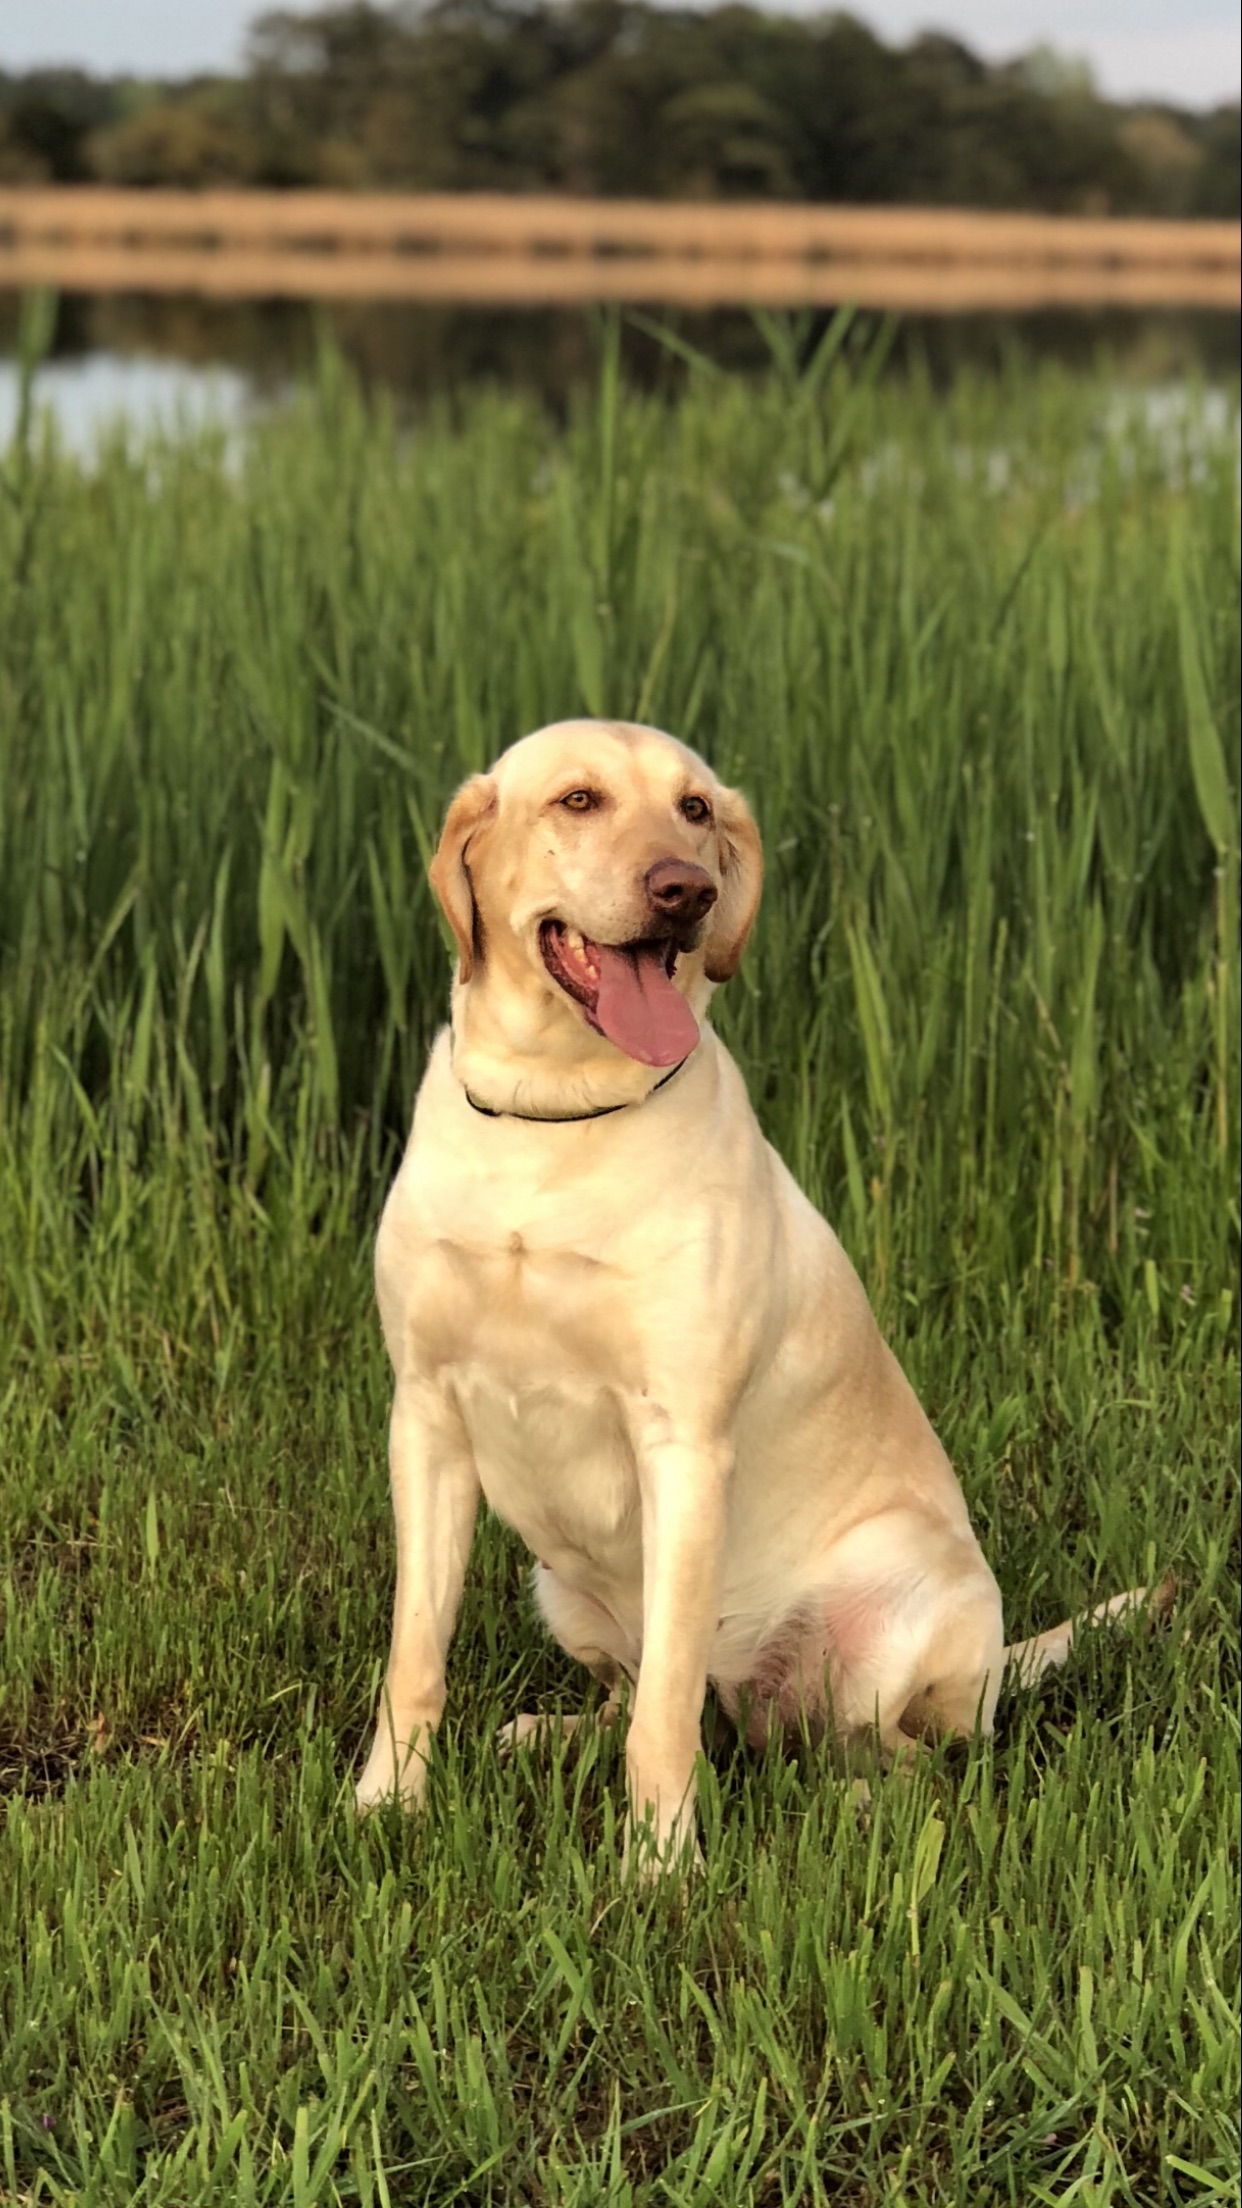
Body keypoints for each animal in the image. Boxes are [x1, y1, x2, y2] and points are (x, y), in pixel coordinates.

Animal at [353, 724, 1158, 1863]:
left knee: (900, 1757)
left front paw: (658, 1866)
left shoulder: (684, 1444)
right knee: (653, 1697)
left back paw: (849, 1805)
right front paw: (385, 1805)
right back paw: (549, 1733)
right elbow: (416, 1656)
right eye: (578, 800)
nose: (684, 890)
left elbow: (663, 1719)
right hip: (560, 1584)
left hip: (901, 1607)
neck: (555, 1115)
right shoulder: (426, 1418)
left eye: (694, 809)